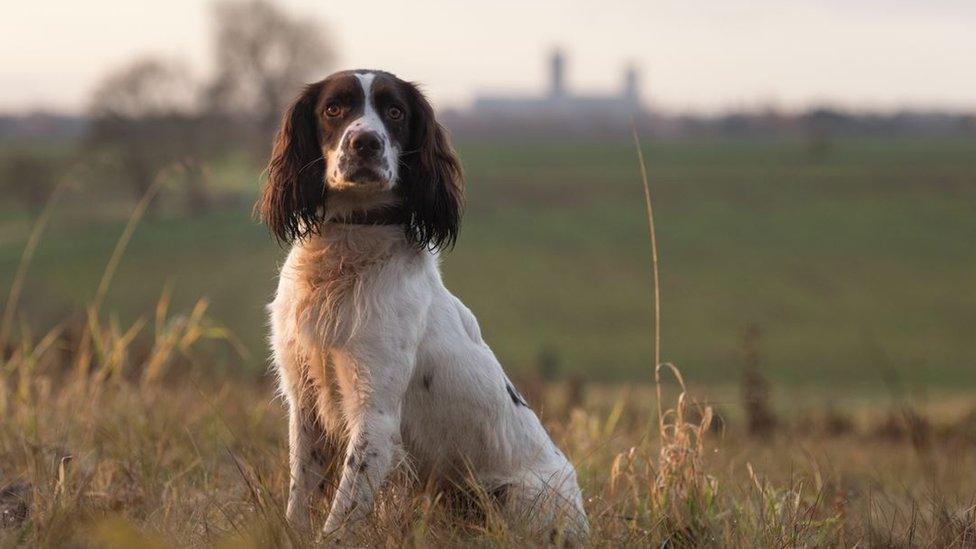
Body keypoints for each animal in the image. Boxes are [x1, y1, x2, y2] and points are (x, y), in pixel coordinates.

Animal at [255, 68, 588, 540]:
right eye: (333, 108)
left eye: (395, 111)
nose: (365, 143)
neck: (348, 255)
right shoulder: (305, 401)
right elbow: (300, 495)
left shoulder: (375, 416)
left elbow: (339, 519)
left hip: (519, 497)